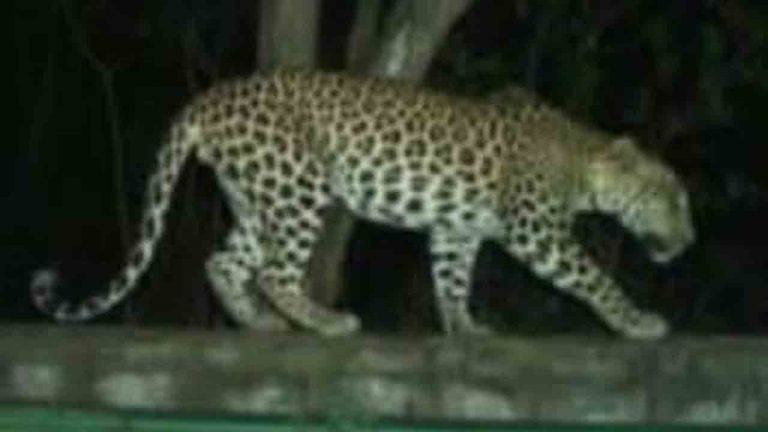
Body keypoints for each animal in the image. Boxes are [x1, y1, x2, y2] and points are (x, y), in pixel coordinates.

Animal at [30, 69, 695, 339]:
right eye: (672, 199)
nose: (689, 242)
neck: (583, 162)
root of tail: (208, 99)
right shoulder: (537, 230)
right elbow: (596, 279)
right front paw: (639, 322)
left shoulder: (456, 231)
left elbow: (452, 280)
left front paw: (464, 328)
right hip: (297, 185)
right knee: (274, 272)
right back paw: (326, 322)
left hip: (257, 197)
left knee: (223, 261)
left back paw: (259, 322)